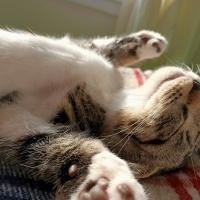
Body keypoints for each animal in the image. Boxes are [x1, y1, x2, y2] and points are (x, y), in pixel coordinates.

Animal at [0, 28, 199, 200]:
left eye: (178, 124)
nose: (197, 86)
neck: (110, 97)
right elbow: (86, 49)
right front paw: (147, 41)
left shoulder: (12, 119)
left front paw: (104, 183)